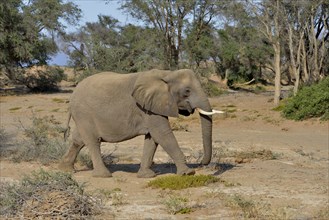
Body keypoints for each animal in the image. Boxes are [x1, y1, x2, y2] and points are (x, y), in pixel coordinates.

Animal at [58, 69, 223, 178]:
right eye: (187, 91)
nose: (202, 163)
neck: (166, 74)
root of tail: (73, 95)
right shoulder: (147, 108)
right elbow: (162, 134)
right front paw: (188, 173)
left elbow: (152, 138)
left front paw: (147, 175)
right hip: (84, 113)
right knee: (92, 142)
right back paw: (103, 175)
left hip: (82, 116)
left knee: (78, 140)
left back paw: (66, 170)